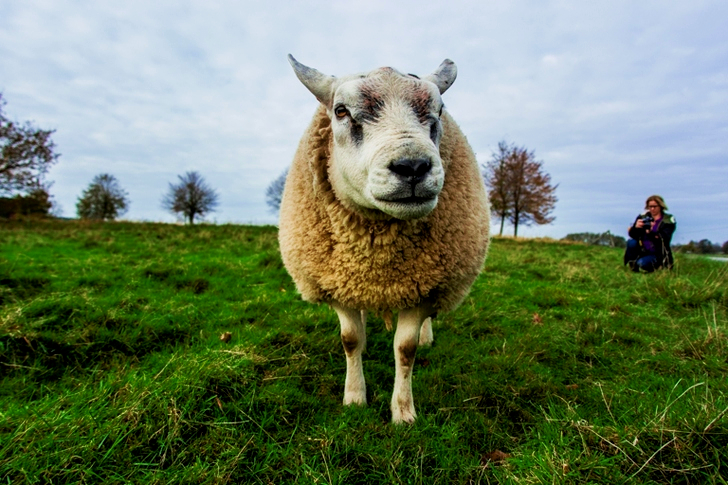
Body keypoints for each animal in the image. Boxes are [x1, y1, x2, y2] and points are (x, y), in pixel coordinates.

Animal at [279, 55, 490, 424]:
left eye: (439, 109)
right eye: (341, 111)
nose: (413, 166)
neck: (377, 252)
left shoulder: (424, 287)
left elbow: (405, 350)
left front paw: (403, 413)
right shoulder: (338, 282)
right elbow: (350, 340)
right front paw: (354, 398)